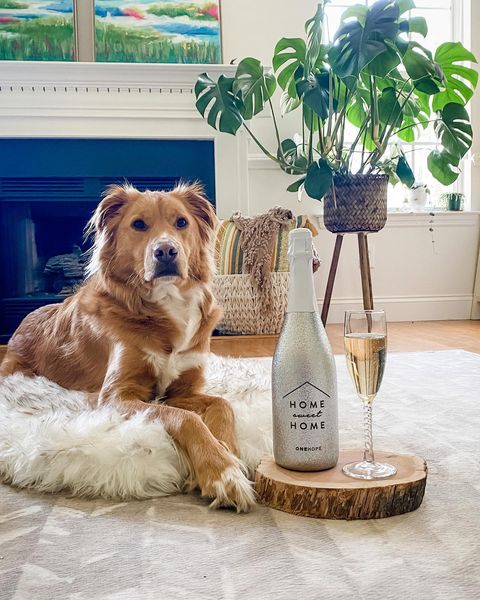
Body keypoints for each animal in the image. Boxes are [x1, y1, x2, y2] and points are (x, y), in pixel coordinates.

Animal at [0, 183, 255, 510]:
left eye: (181, 222)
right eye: (139, 224)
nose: (166, 251)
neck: (165, 304)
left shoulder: (182, 391)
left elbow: (223, 405)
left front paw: (229, 452)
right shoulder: (117, 396)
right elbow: (185, 418)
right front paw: (221, 472)